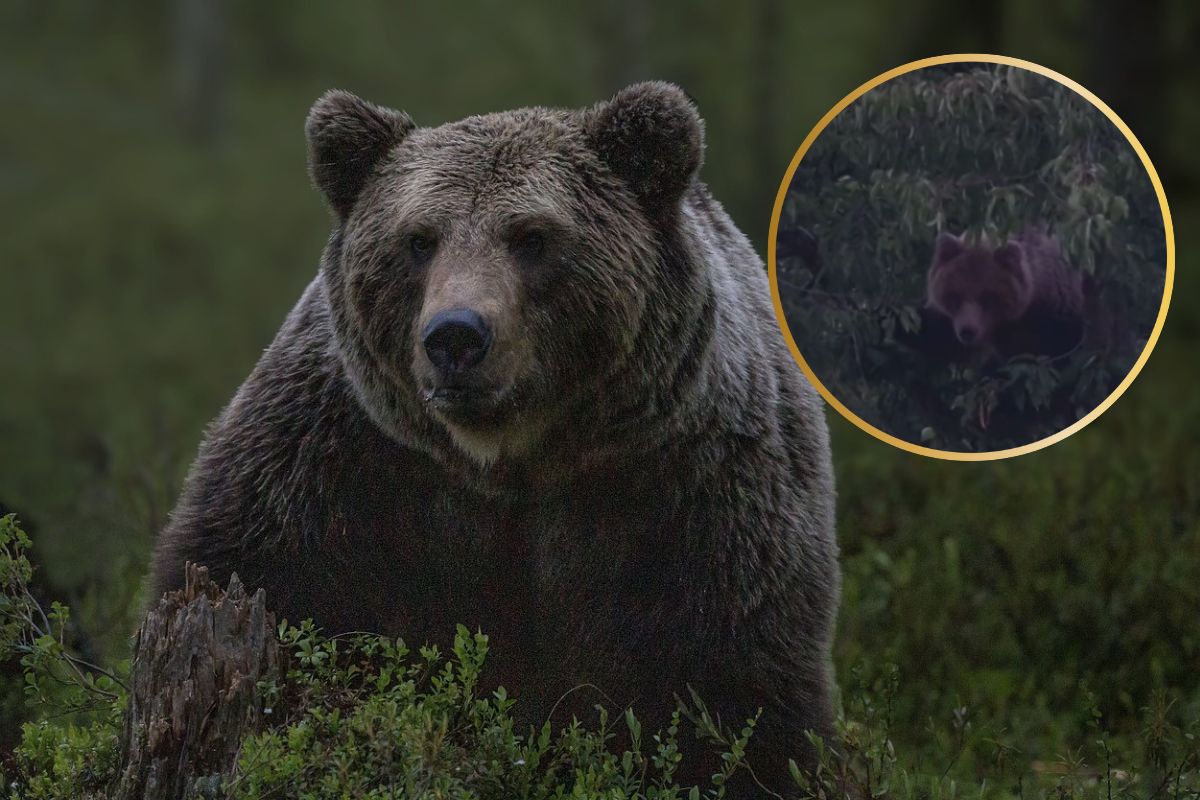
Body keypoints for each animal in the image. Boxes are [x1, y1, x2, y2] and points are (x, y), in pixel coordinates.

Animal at [150, 82, 840, 796]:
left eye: (532, 237)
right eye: (418, 239)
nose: (456, 336)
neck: (510, 460)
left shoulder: (690, 491)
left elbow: (730, 687)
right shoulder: (337, 463)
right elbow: (263, 575)